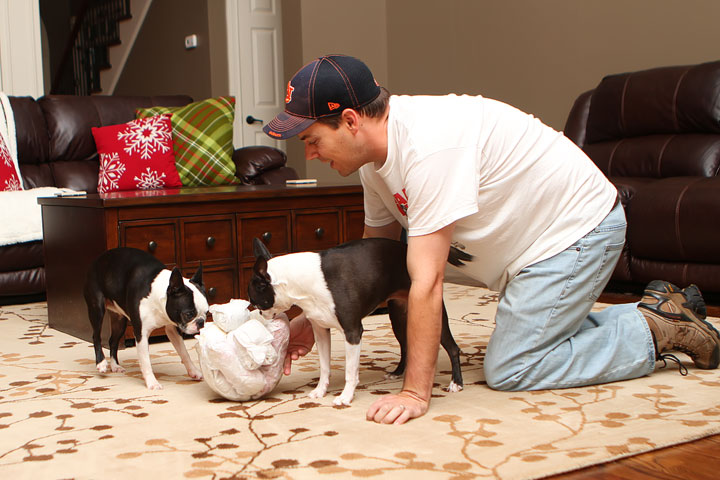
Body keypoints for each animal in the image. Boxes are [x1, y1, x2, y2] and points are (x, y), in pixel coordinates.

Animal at [84, 248, 210, 390]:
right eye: (188, 314)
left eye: (207, 312)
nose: (201, 322)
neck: (157, 295)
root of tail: (98, 259)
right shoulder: (141, 334)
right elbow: (145, 361)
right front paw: (152, 382)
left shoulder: (173, 329)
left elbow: (184, 352)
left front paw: (194, 371)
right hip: (97, 308)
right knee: (96, 336)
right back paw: (101, 363)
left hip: (120, 320)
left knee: (113, 341)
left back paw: (115, 366)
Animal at [248, 236, 464, 404]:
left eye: (256, 303)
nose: (256, 314)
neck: (302, 281)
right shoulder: (320, 330)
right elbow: (324, 366)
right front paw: (320, 390)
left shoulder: (352, 332)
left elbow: (351, 372)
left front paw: (346, 396)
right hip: (399, 316)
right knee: (406, 346)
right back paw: (397, 372)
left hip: (434, 314)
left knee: (453, 348)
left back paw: (456, 383)